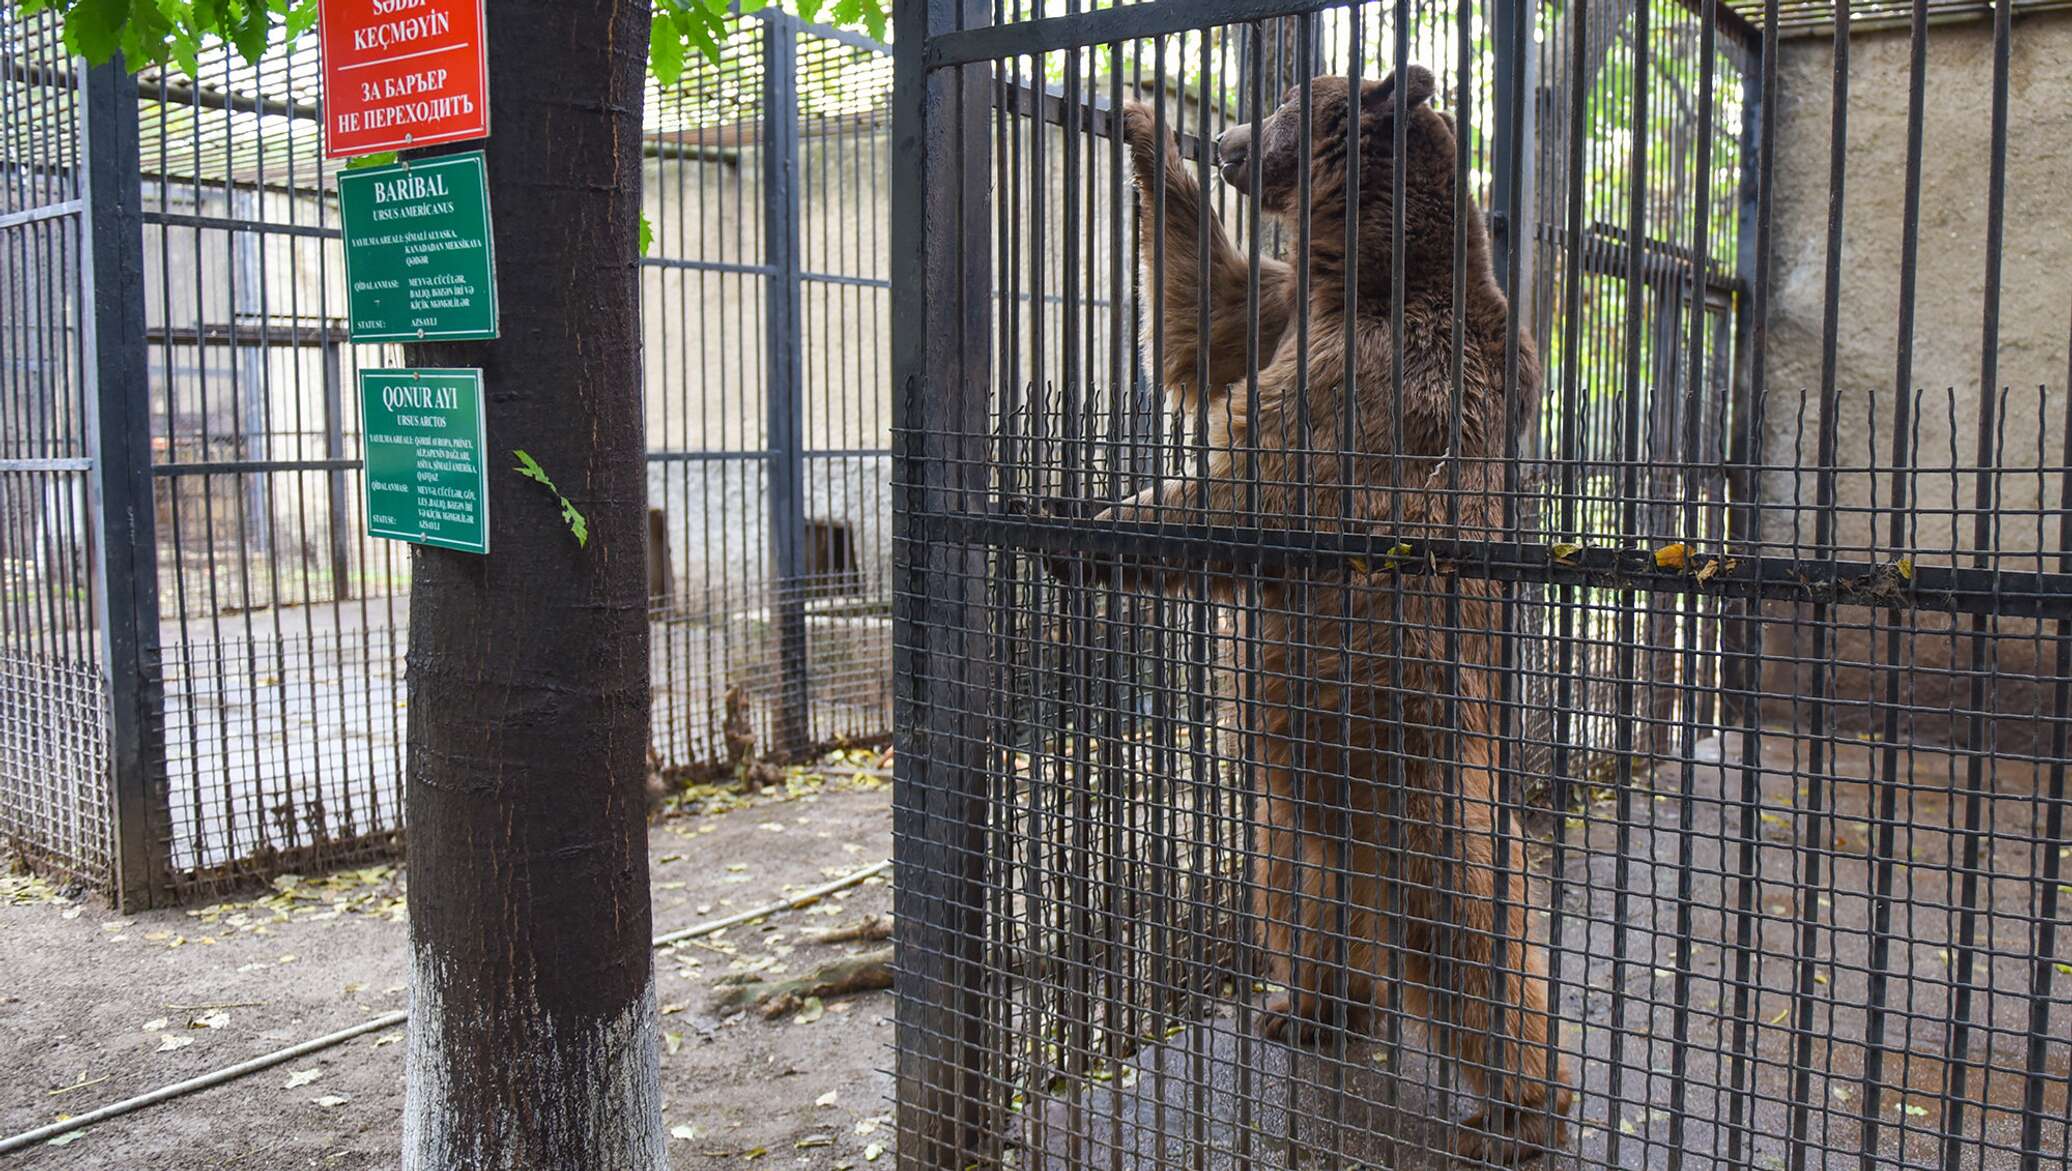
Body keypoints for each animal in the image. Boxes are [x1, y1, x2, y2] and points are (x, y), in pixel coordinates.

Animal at [1077, 68, 1574, 1152]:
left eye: (1280, 107)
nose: (1222, 138)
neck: (1363, 271)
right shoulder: (1282, 313)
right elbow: (1203, 307)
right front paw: (1141, 129)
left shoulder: (1369, 386)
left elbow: (1248, 482)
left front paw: (1096, 524)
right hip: (1297, 781)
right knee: (1303, 890)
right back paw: (1308, 1005)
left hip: (1414, 745)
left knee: (1466, 915)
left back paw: (1521, 1106)